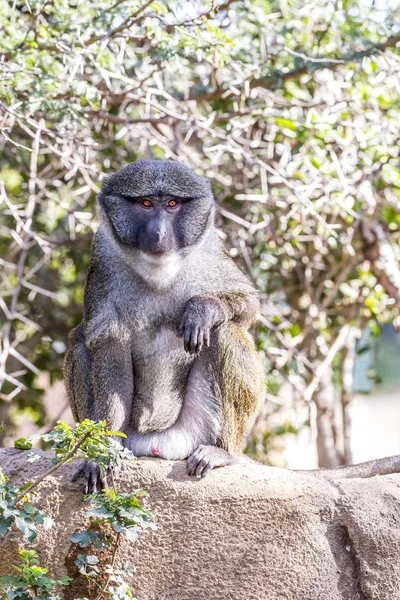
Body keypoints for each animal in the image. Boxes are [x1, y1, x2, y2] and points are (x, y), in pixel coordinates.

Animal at [65, 158, 400, 492]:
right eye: (146, 204)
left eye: (172, 204)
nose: (159, 234)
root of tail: (156, 444)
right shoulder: (104, 257)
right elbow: (108, 344)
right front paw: (102, 451)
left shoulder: (211, 248)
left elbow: (247, 305)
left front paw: (203, 309)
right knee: (79, 342)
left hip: (199, 430)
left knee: (225, 333)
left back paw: (222, 452)